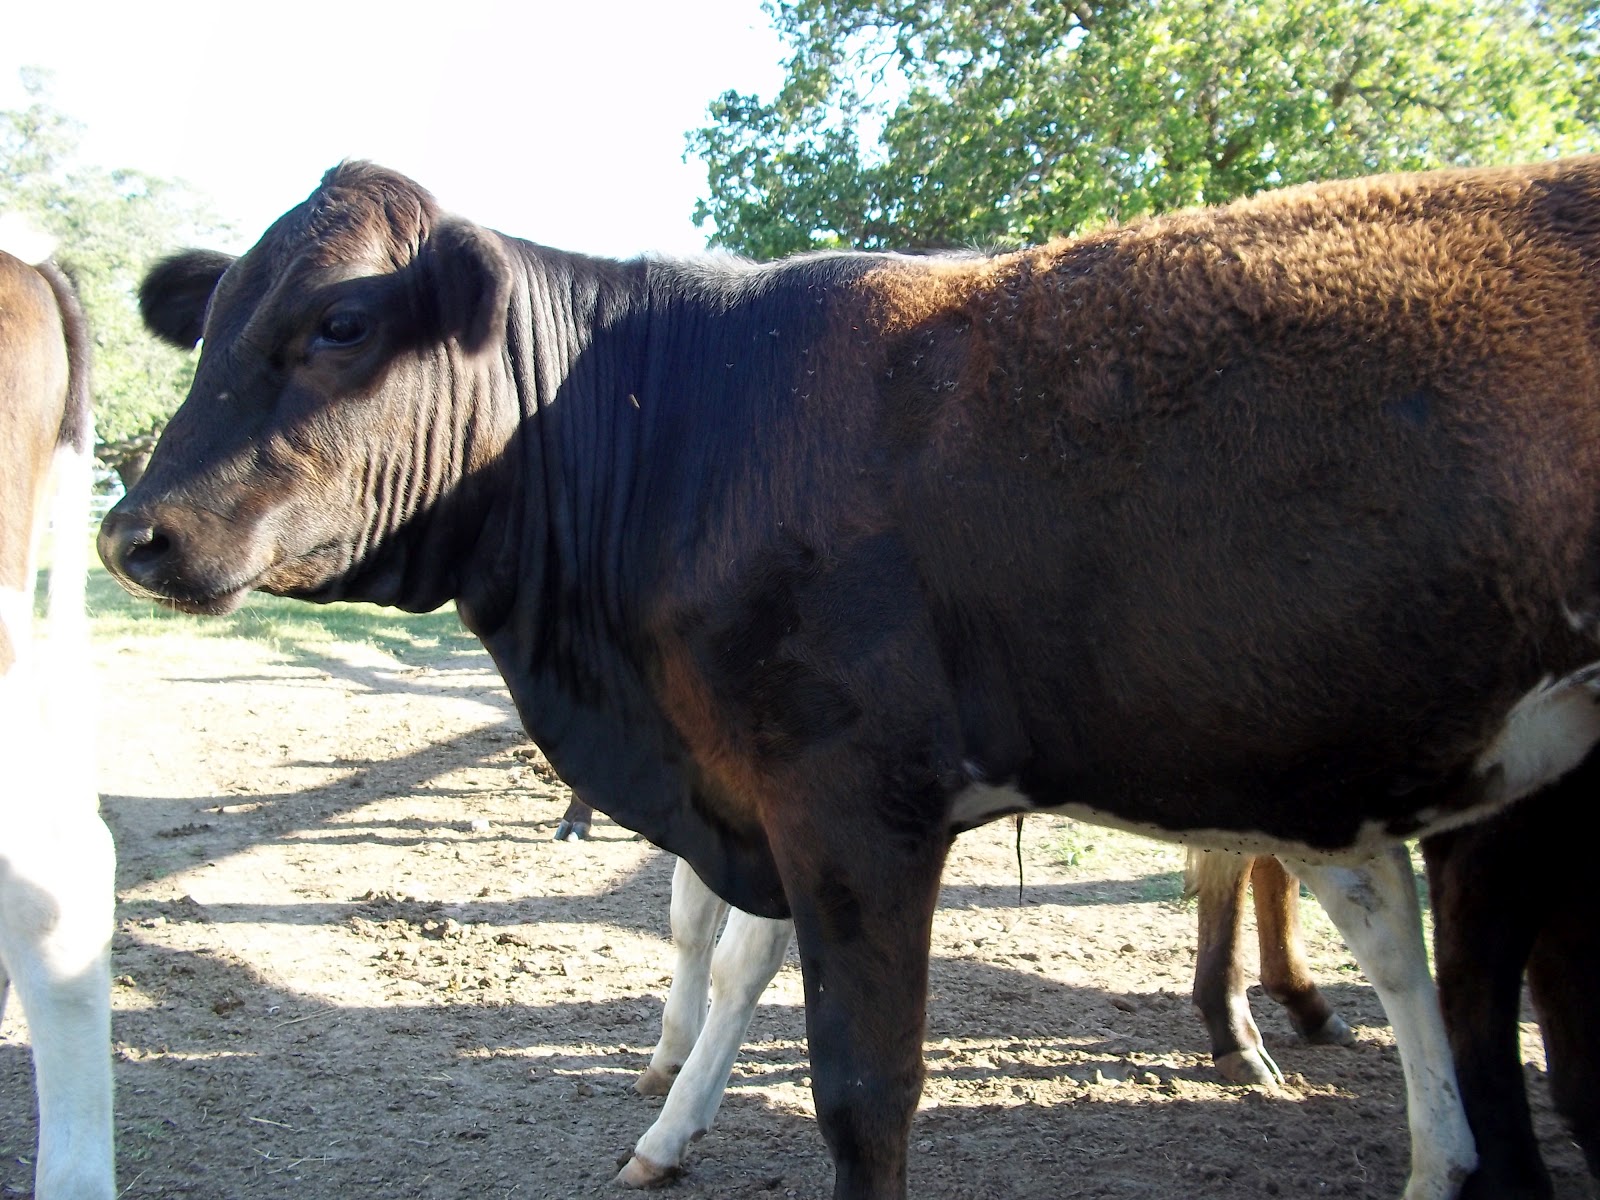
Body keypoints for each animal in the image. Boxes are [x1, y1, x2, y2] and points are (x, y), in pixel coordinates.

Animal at [97, 156, 1600, 1200]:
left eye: (342, 322)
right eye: (212, 321)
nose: (134, 532)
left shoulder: (845, 796)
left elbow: (863, 1090)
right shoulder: (758, 800)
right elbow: (733, 961)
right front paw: (666, 1124)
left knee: (1483, 994)